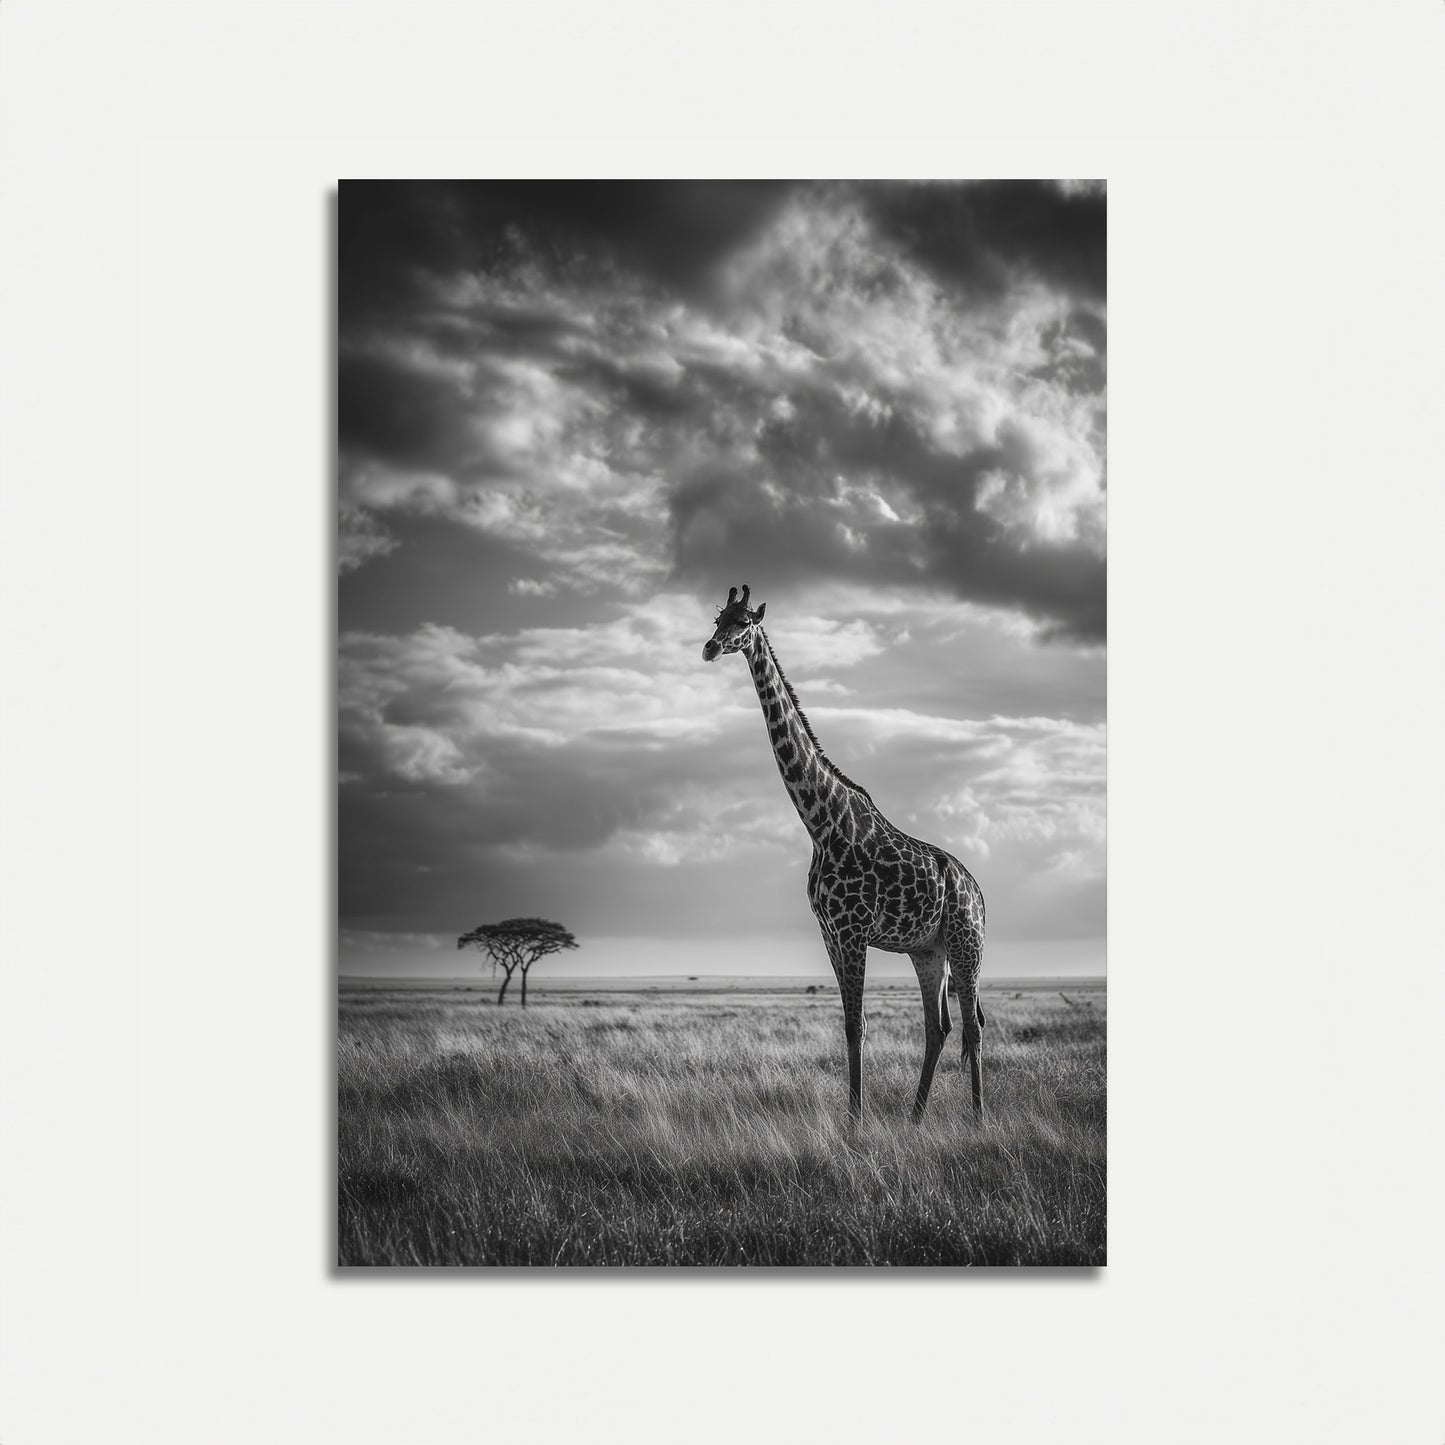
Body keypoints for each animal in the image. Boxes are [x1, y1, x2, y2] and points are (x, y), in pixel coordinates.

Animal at [702, 584, 986, 1123]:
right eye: (716, 618)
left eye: (744, 623)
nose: (709, 648)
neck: (820, 823)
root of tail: (977, 890)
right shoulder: (830, 933)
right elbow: (852, 1026)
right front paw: (853, 1122)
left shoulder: (853, 931)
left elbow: (858, 1025)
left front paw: (855, 1127)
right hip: (928, 950)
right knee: (939, 1026)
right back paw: (915, 1120)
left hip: (967, 943)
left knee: (973, 1025)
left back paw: (980, 1121)